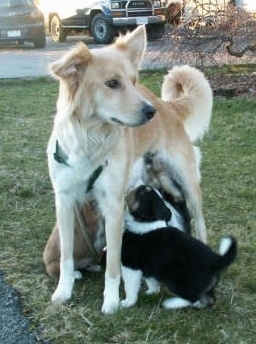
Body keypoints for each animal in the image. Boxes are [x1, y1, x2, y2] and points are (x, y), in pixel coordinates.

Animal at [47, 25, 213, 314]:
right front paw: (63, 292)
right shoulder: (65, 201)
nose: (150, 112)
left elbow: (114, 264)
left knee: (200, 223)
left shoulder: (113, 206)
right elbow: (67, 256)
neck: (89, 141)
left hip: (189, 184)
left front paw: (112, 301)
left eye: (134, 81)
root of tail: (167, 106)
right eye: (112, 83)